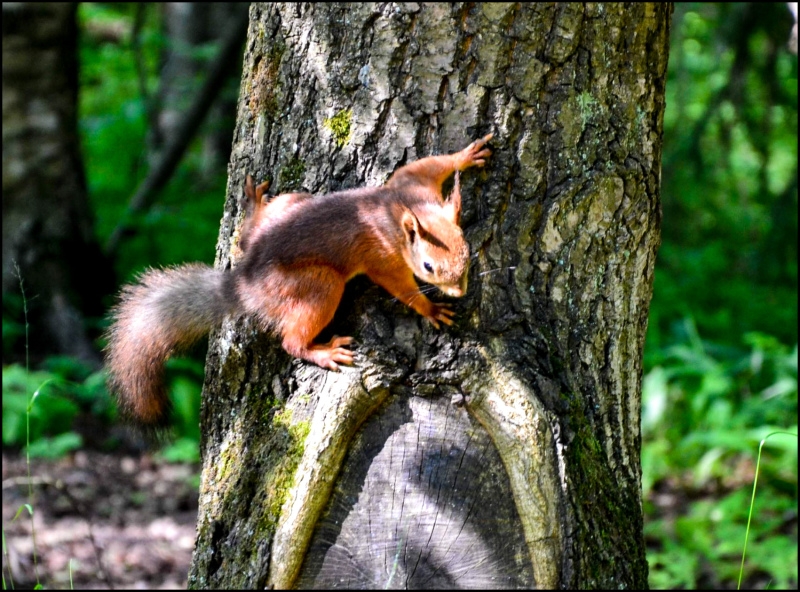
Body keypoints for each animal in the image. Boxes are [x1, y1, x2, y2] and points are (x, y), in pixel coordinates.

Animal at [106, 133, 494, 426]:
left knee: (246, 238)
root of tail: (244, 283)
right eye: (428, 267)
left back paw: (254, 206)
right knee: (292, 340)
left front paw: (465, 155)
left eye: (467, 252)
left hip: (292, 202)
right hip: (317, 285)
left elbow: (430, 163)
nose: (459, 292)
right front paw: (431, 308)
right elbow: (400, 286)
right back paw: (324, 353)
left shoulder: (412, 182)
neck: (400, 213)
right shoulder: (383, 257)